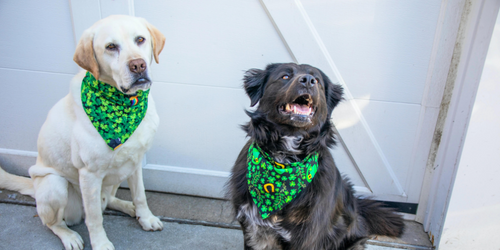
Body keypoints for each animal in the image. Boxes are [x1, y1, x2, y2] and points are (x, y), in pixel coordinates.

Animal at [229, 63, 404, 249]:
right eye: (285, 76)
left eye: (317, 80)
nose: (308, 80)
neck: (284, 158)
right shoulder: (252, 230)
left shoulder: (306, 237)